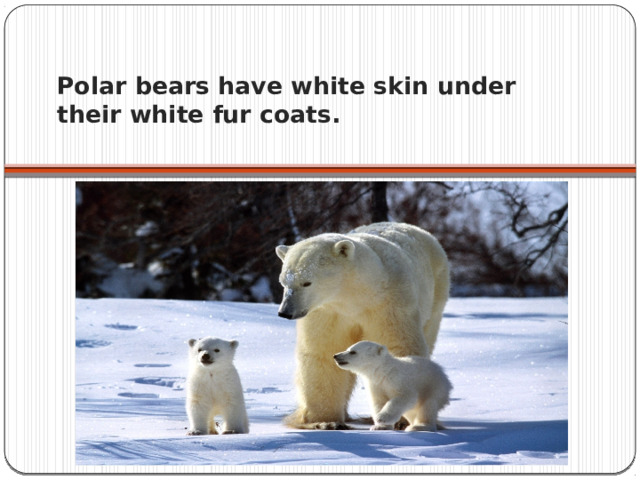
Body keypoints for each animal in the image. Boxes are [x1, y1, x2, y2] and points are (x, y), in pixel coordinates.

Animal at [275, 222, 449, 429]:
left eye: (306, 282)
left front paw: (399, 420)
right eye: (283, 282)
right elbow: (323, 353)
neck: (355, 296)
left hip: (436, 293)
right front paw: (325, 421)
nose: (285, 312)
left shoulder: (388, 304)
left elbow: (398, 345)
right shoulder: (327, 312)